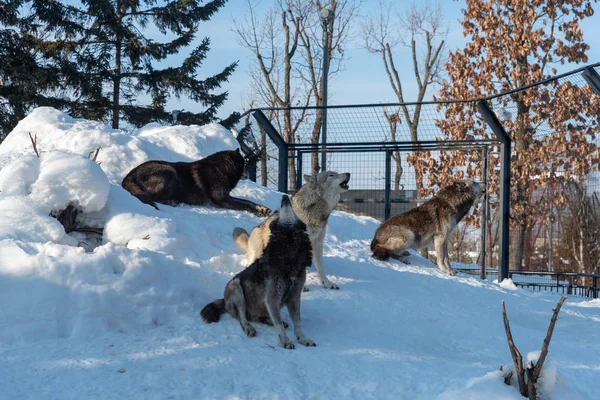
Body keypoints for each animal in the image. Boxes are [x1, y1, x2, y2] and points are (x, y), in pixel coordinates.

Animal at [120, 148, 270, 217]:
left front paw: (262, 208)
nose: (249, 174)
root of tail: (127, 177)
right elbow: (243, 204)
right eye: (244, 164)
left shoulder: (226, 197)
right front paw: (257, 212)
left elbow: (247, 201)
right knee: (154, 197)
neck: (220, 169)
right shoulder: (222, 199)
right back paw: (172, 202)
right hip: (170, 172)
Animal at [200, 195, 316, 348]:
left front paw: (303, 338)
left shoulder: (294, 297)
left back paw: (270, 320)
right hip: (236, 287)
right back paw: (249, 328)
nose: (285, 196)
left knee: (259, 317)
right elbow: (279, 325)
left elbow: (297, 323)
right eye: (280, 209)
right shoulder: (272, 298)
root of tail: (224, 300)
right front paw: (285, 341)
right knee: (243, 318)